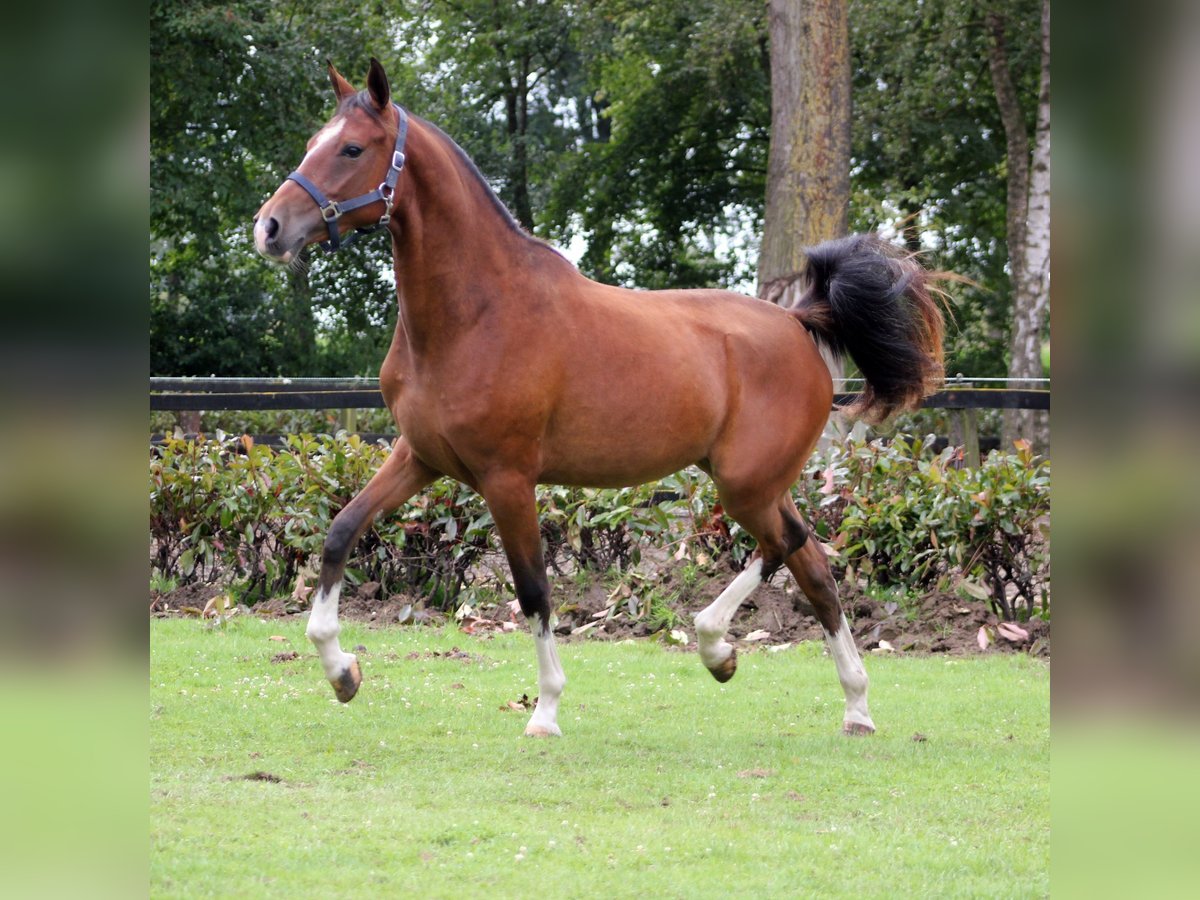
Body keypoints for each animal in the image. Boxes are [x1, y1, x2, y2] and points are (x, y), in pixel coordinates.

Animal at [253, 60, 945, 734]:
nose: (269, 228)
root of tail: (801, 322)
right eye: (313, 143)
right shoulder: (419, 457)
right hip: (761, 484)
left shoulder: (507, 479)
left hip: (745, 485)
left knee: (787, 546)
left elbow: (534, 590)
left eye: (351, 148)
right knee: (817, 570)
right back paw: (855, 706)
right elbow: (341, 531)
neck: (476, 315)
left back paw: (717, 647)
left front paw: (546, 710)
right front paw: (342, 671)